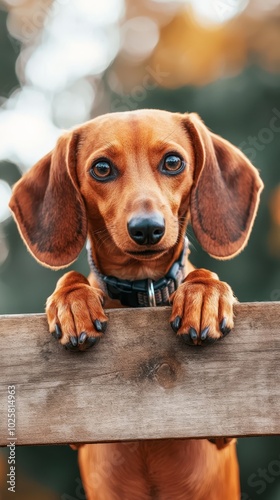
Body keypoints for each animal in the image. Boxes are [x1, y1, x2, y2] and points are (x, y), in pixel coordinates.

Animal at [8, 110, 262, 500]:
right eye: (101, 168)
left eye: (173, 162)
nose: (146, 229)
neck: (144, 291)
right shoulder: (79, 438)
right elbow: (71, 277)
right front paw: (73, 301)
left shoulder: (224, 431)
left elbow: (200, 273)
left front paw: (204, 293)